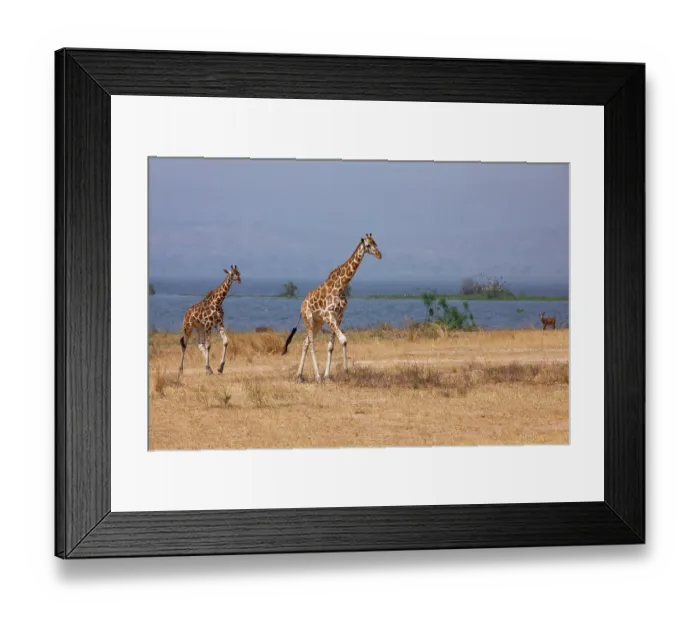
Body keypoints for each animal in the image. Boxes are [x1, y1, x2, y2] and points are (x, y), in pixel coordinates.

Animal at [281, 234, 382, 383]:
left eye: (376, 243)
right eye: (368, 245)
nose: (379, 255)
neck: (341, 285)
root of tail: (301, 305)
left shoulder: (339, 316)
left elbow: (331, 346)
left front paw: (327, 375)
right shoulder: (329, 315)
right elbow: (343, 340)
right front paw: (345, 371)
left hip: (317, 322)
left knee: (305, 342)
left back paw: (299, 376)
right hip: (308, 318)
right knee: (311, 344)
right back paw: (317, 377)